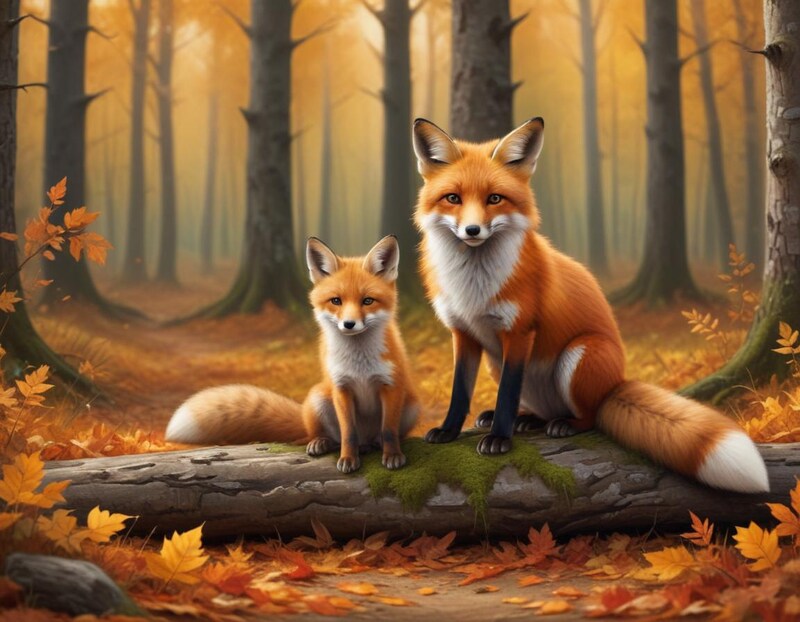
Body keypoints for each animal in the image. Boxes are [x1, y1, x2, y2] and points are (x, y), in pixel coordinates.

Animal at [165, 235, 419, 473]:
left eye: (367, 301)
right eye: (336, 301)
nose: (349, 324)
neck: (359, 364)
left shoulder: (391, 386)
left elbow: (388, 431)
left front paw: (393, 455)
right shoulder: (340, 388)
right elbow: (348, 432)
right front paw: (348, 458)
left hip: (411, 405)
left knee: (380, 436)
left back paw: (373, 444)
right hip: (318, 397)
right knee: (326, 436)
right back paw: (321, 442)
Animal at [411, 116, 770, 494]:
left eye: (494, 198)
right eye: (453, 198)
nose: (472, 230)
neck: (473, 286)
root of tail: (616, 384)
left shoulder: (520, 332)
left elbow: (507, 393)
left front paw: (499, 439)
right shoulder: (463, 332)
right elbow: (460, 391)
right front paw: (449, 430)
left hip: (579, 353)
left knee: (591, 416)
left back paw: (562, 424)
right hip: (501, 362)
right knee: (540, 408)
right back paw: (526, 419)